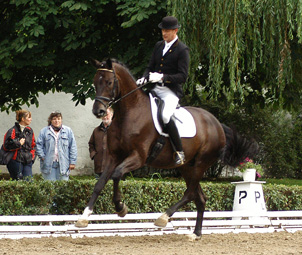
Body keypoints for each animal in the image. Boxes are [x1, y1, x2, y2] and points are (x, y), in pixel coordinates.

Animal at [76, 58, 258, 240]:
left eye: (109, 82)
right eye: (95, 82)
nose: (98, 111)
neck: (129, 113)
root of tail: (217, 124)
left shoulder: (138, 157)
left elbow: (116, 174)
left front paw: (121, 208)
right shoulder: (113, 157)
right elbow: (99, 183)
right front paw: (84, 217)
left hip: (201, 163)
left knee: (190, 193)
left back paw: (163, 217)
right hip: (187, 167)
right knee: (200, 197)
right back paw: (196, 233)